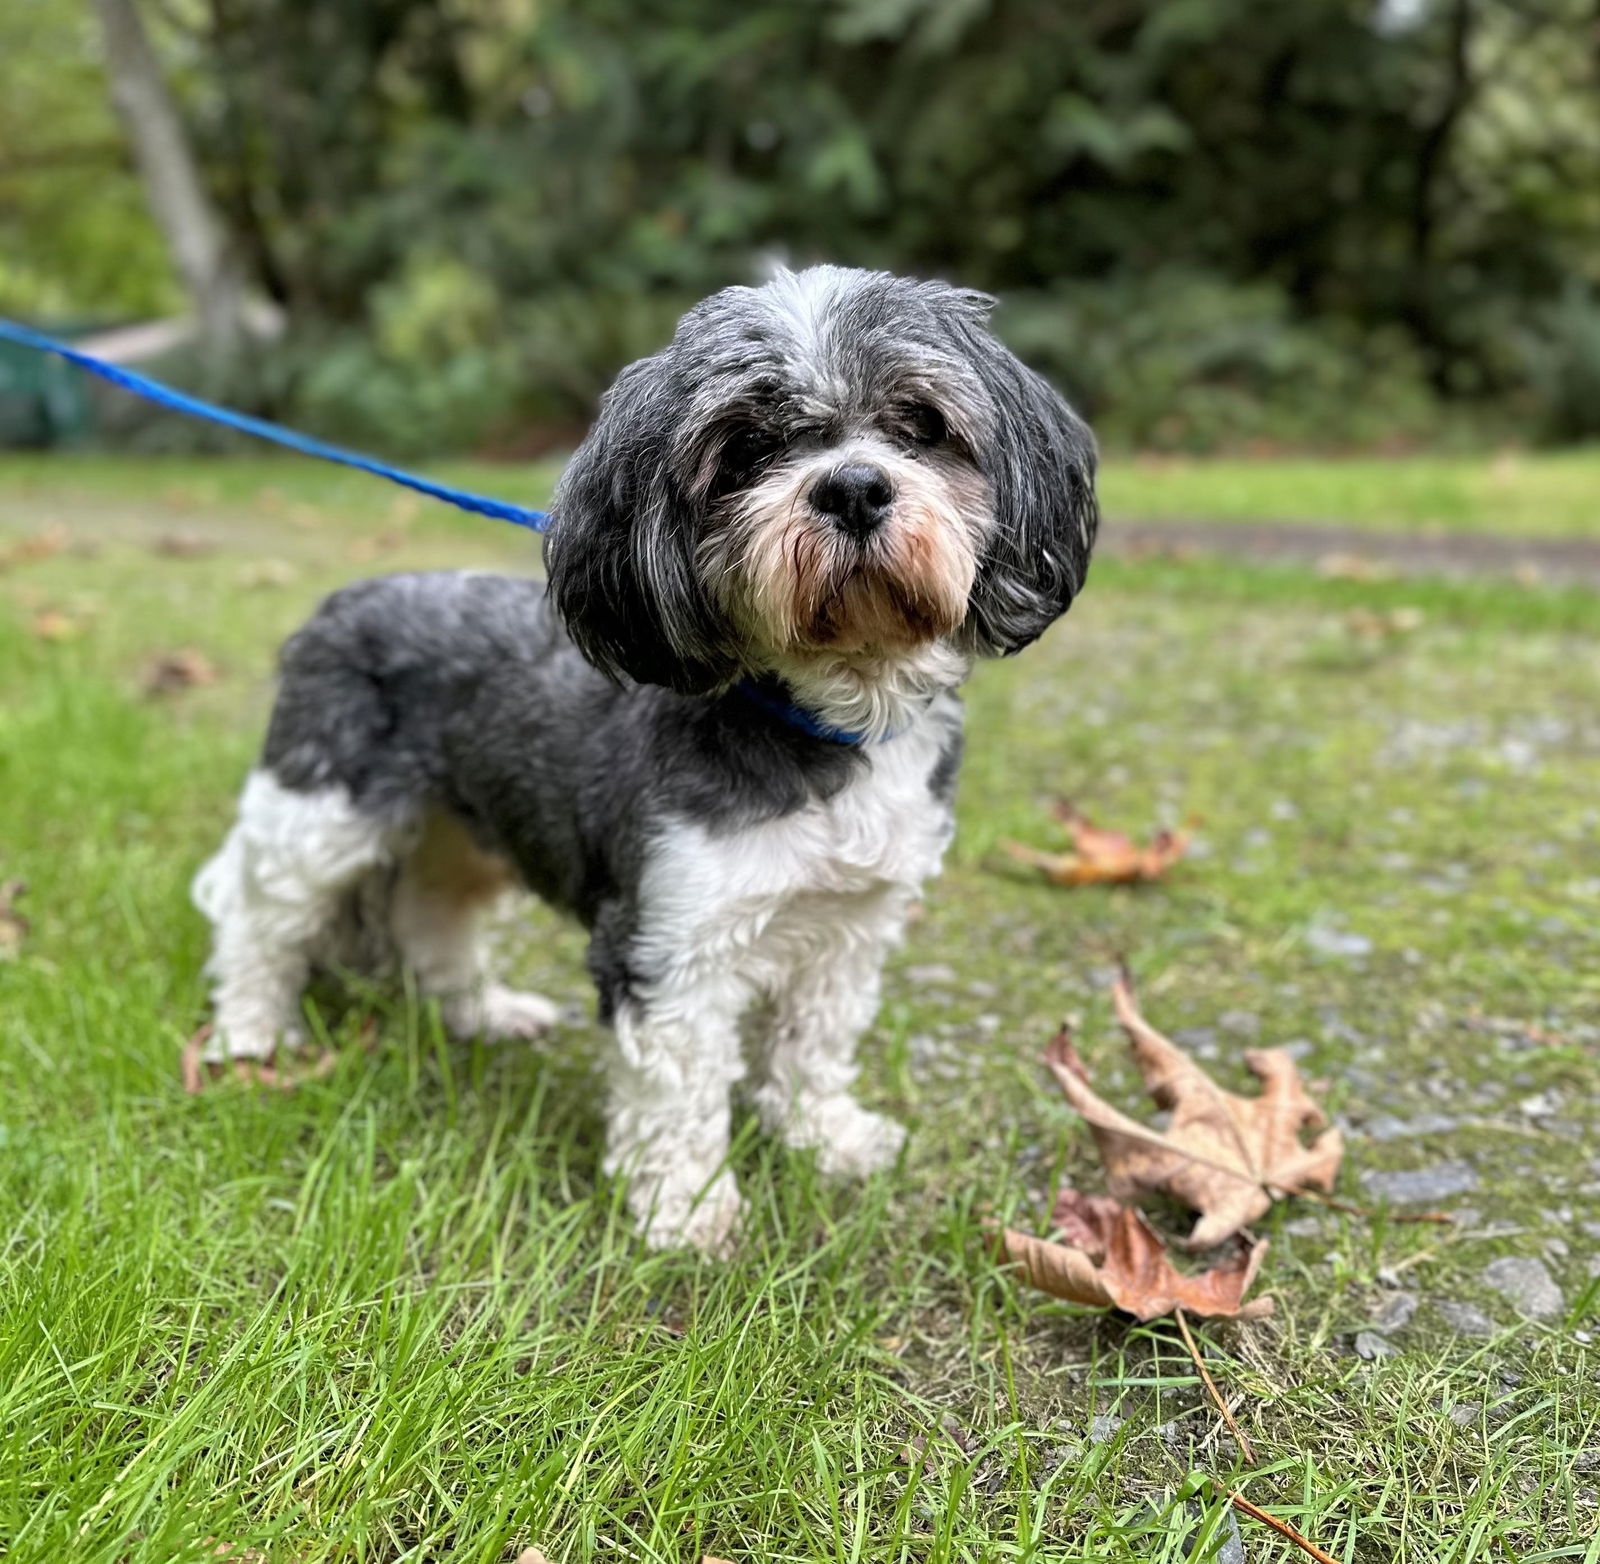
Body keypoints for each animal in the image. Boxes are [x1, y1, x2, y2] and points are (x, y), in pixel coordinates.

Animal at [190, 265, 1100, 1240]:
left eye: (921, 425)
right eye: (745, 448)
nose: (853, 487)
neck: (824, 720)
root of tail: (342, 603)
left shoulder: (849, 928)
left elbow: (813, 1044)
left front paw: (827, 1137)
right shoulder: (671, 938)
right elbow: (679, 1086)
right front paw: (686, 1207)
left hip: (462, 832)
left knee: (432, 914)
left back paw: (484, 1012)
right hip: (317, 814)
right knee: (260, 922)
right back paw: (251, 1034)